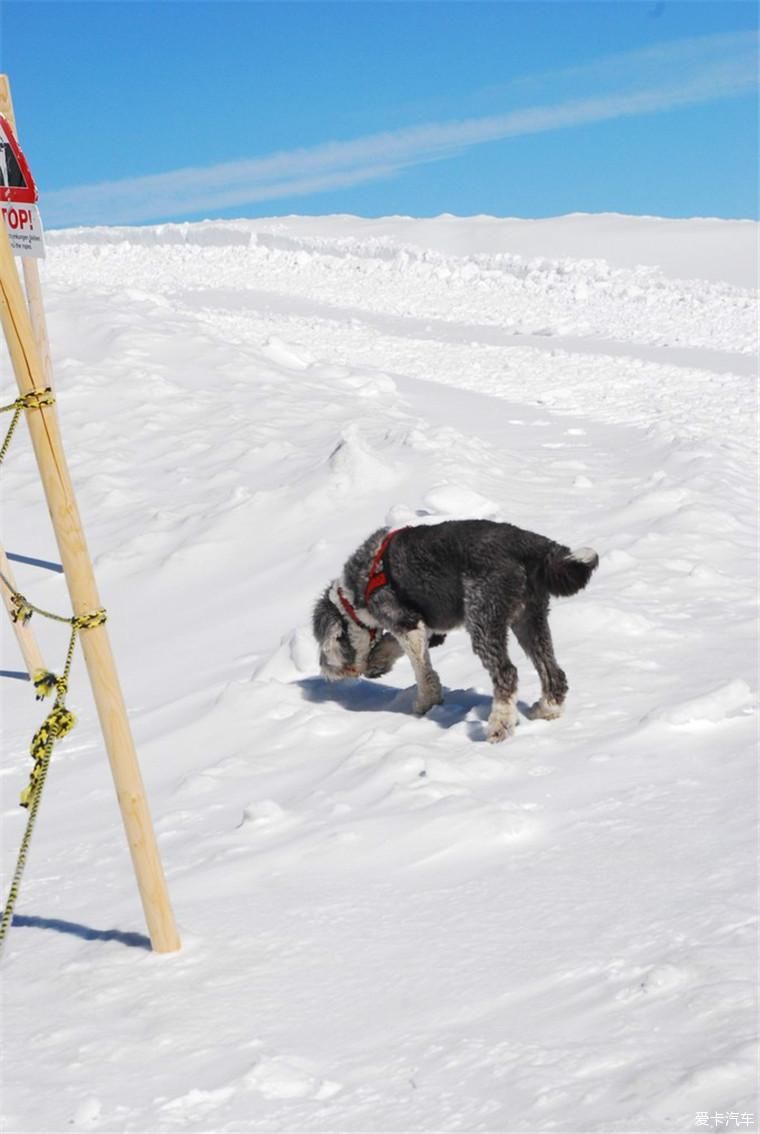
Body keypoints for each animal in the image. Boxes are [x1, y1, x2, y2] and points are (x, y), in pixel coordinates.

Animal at [313, 519, 598, 743]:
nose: (325, 672)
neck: (353, 598)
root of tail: (533, 546)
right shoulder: (425, 625)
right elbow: (393, 644)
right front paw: (377, 662)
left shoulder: (404, 621)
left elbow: (422, 669)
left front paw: (426, 702)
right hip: (529, 617)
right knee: (552, 670)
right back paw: (547, 709)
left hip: (483, 617)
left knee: (507, 674)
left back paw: (499, 727)